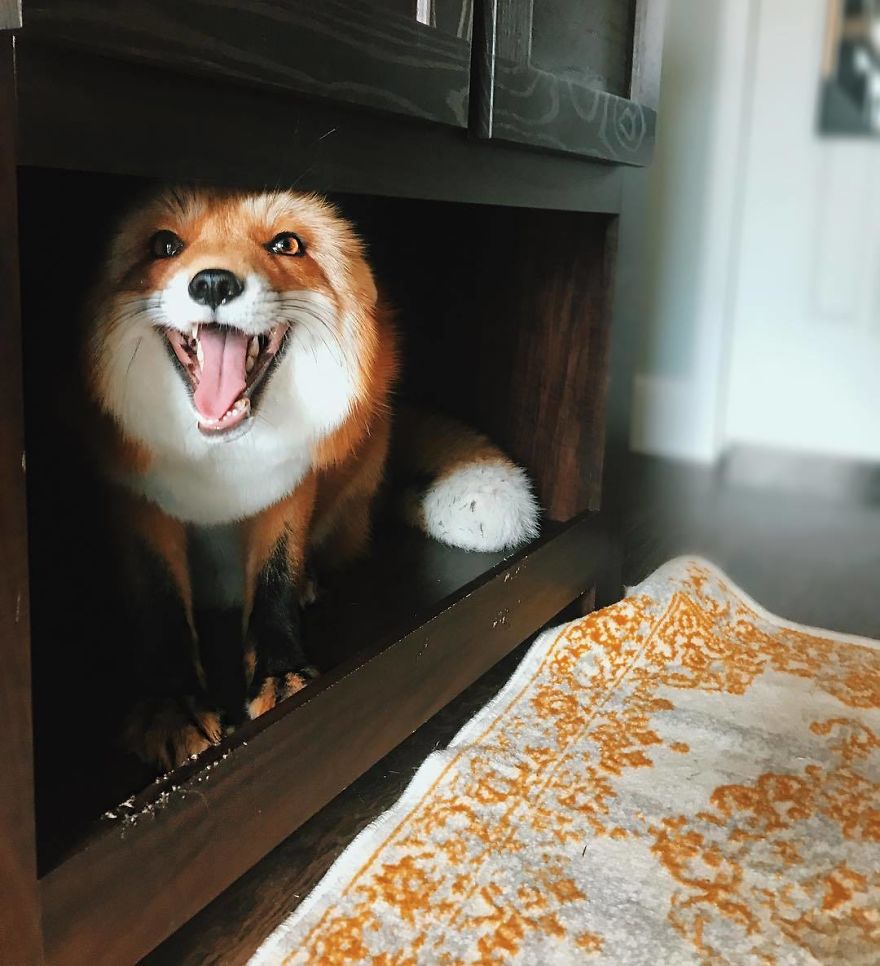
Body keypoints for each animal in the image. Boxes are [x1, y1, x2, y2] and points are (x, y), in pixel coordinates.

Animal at [82, 187, 539, 771]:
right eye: (163, 244)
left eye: (287, 244)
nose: (213, 283)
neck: (219, 464)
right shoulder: (138, 500)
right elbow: (161, 606)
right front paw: (170, 706)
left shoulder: (289, 484)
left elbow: (276, 579)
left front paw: (281, 672)